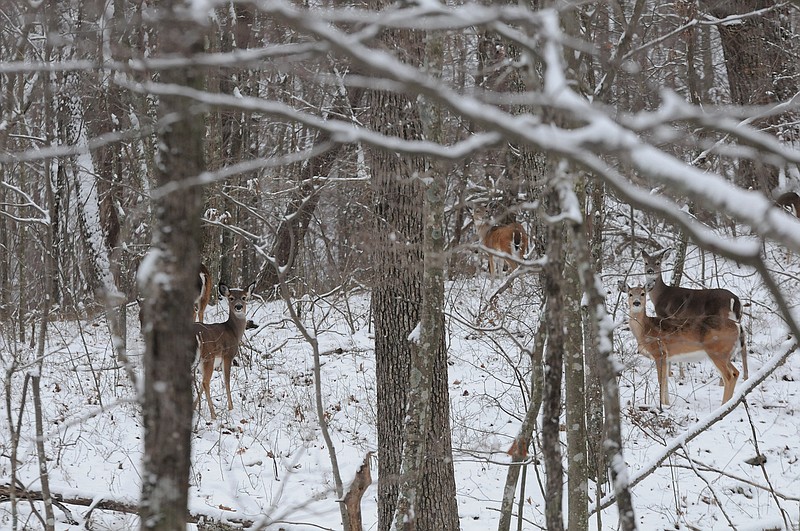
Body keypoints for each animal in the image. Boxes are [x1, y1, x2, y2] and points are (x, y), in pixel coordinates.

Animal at [193, 280, 253, 422]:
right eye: (231, 298)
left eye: (244, 297)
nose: (238, 307)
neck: (233, 331)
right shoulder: (228, 355)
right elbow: (226, 381)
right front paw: (231, 407)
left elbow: (201, 386)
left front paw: (193, 407)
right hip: (208, 356)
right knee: (206, 382)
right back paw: (213, 415)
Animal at [640, 249, 748, 382]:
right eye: (645, 262)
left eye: (657, 263)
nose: (650, 271)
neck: (659, 296)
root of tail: (735, 300)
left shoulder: (666, 316)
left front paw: (674, 374)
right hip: (738, 318)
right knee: (744, 344)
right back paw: (745, 376)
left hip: (722, 317)